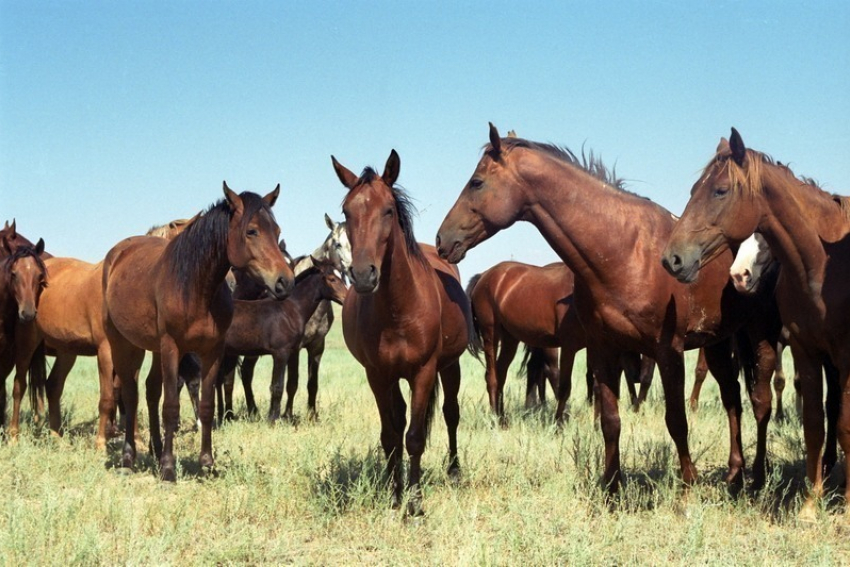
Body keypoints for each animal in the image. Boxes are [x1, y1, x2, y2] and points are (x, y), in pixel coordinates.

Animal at [100, 183, 288, 480]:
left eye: (277, 231)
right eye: (252, 231)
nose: (284, 282)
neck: (195, 288)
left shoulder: (213, 351)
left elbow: (206, 406)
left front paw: (207, 464)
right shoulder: (172, 347)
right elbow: (171, 407)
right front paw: (168, 469)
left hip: (153, 348)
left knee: (150, 390)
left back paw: (154, 450)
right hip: (124, 343)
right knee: (130, 393)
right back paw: (128, 458)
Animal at [334, 150, 474, 516]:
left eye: (388, 210)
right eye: (347, 212)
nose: (363, 275)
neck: (398, 308)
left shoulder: (423, 372)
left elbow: (415, 436)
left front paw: (415, 502)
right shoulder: (377, 374)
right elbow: (390, 434)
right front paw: (395, 493)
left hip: (449, 367)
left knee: (450, 414)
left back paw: (454, 471)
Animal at [438, 123, 780, 492]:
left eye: (476, 182)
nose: (442, 240)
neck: (623, 252)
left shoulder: (667, 351)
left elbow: (676, 420)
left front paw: (688, 484)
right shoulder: (603, 349)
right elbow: (610, 420)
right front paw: (612, 486)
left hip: (760, 337)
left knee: (759, 400)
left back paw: (755, 473)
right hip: (716, 343)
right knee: (732, 397)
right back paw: (735, 471)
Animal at [664, 129, 848, 520]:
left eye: (720, 191)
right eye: (693, 190)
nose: (672, 258)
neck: (823, 262)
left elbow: (842, 422)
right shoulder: (807, 351)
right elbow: (813, 422)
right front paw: (810, 505)